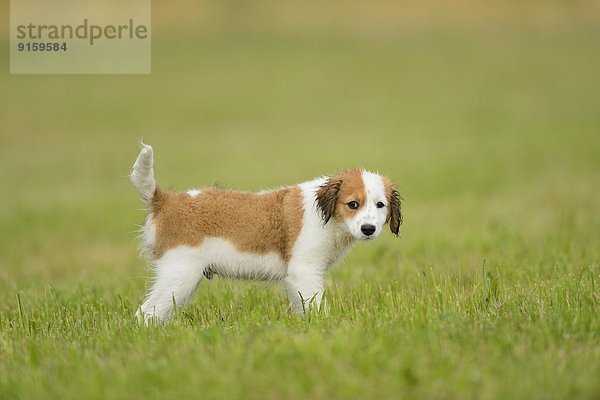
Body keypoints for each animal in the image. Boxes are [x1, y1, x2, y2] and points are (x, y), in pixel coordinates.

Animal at [131, 143, 404, 322]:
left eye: (380, 205)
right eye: (352, 204)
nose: (368, 229)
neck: (326, 216)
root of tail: (165, 200)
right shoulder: (304, 270)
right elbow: (315, 304)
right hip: (180, 275)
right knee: (146, 313)